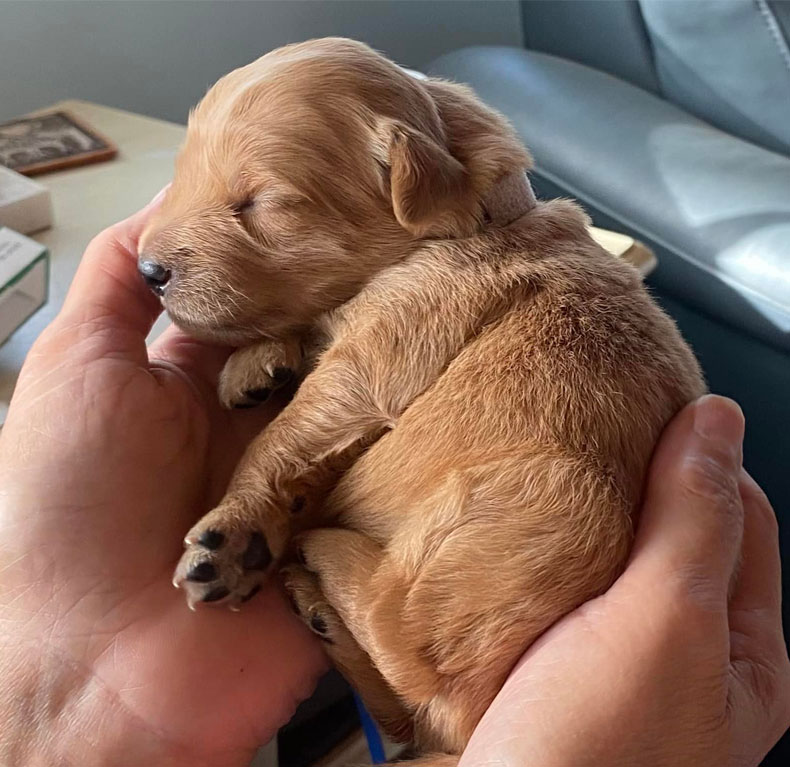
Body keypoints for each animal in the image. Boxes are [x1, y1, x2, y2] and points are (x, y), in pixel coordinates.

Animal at [136, 39, 704, 764]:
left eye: (259, 202)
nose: (147, 272)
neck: (471, 220)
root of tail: (460, 733)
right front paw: (256, 363)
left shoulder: (392, 340)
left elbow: (284, 435)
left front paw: (236, 532)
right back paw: (316, 609)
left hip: (560, 493)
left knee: (404, 636)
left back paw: (322, 552)